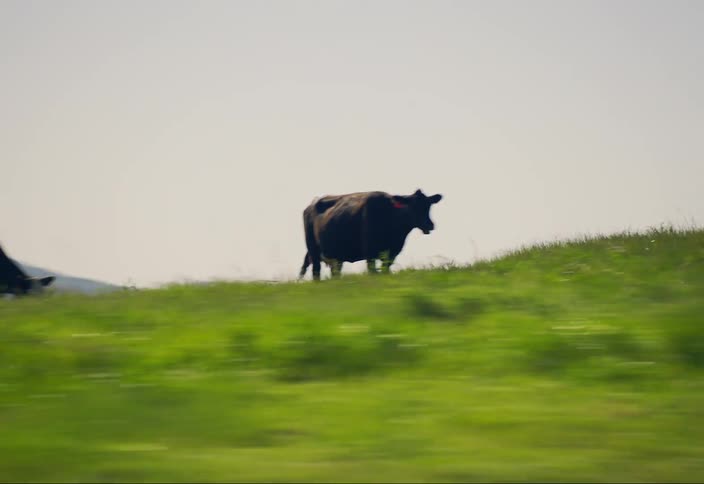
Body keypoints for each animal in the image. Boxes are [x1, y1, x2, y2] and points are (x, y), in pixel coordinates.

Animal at [299, 189, 443, 281]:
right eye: (412, 206)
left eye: (428, 205)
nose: (430, 225)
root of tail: (310, 206)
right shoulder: (369, 252)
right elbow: (372, 271)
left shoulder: (392, 253)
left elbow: (385, 270)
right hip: (313, 251)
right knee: (316, 272)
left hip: (336, 258)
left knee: (335, 273)